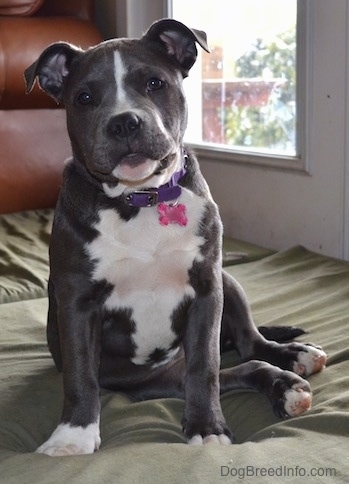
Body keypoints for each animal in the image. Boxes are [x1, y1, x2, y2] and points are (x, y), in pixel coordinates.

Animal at [25, 19, 326, 458]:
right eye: (84, 98)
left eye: (155, 83)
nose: (124, 122)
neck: (142, 199)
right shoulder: (77, 301)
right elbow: (80, 374)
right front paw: (72, 437)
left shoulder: (206, 289)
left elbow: (206, 367)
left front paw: (207, 427)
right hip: (148, 377)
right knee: (237, 366)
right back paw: (283, 384)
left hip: (227, 281)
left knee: (248, 346)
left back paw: (292, 361)